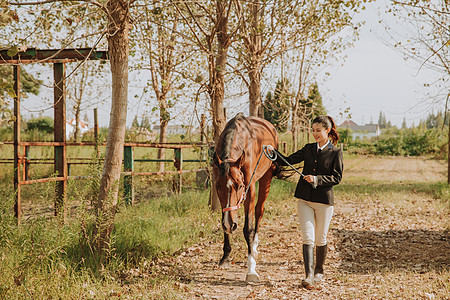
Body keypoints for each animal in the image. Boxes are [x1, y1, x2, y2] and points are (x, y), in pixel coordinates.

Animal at [212, 113, 278, 282]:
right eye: (218, 187)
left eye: (240, 186)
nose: (230, 224)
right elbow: (224, 220)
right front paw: (225, 256)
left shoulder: (250, 188)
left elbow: (248, 228)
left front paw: (251, 268)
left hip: (266, 177)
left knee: (259, 211)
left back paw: (254, 247)